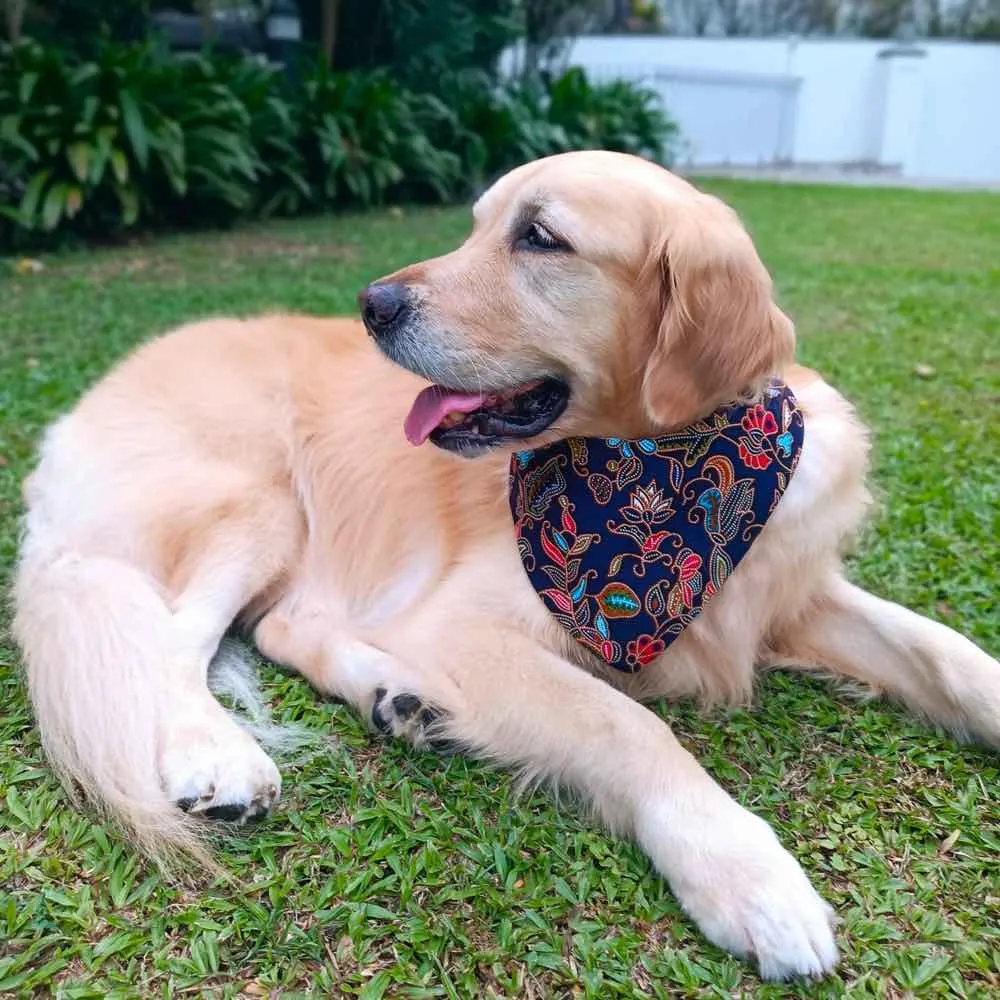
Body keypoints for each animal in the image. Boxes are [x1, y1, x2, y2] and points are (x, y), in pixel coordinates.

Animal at [13, 152, 1000, 980]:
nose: (372, 303)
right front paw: (746, 871)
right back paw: (214, 752)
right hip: (260, 501)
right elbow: (627, 725)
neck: (665, 481)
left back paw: (399, 696)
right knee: (174, 641)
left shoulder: (781, 593)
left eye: (541, 238)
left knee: (281, 624)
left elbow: (942, 649)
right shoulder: (468, 623)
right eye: (478, 225)